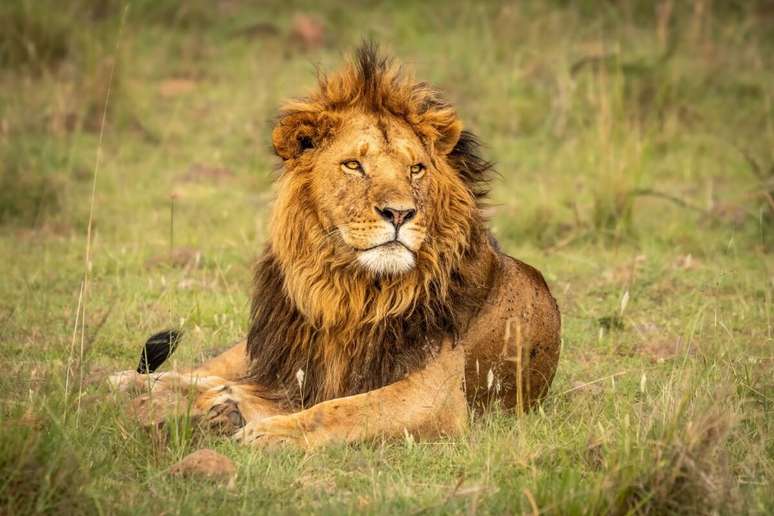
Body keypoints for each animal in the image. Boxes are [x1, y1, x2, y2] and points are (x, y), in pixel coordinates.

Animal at [109, 43, 560, 448]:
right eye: (354, 165)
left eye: (416, 169)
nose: (400, 213)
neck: (350, 290)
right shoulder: (292, 373)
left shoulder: (436, 396)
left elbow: (342, 409)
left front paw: (270, 431)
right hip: (255, 348)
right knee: (200, 369)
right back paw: (130, 381)